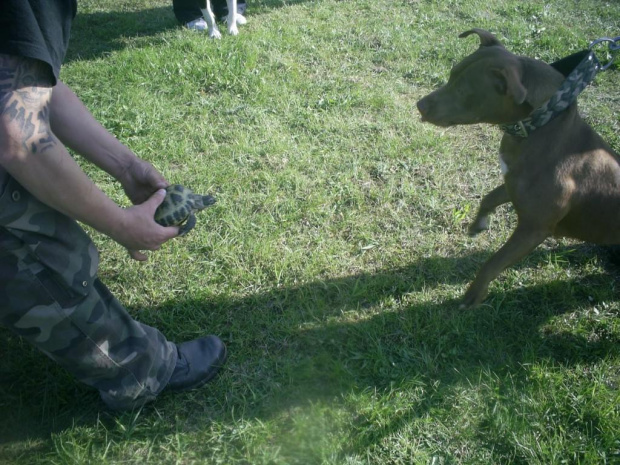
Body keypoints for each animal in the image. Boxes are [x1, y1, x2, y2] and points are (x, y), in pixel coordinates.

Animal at [416, 27, 620, 306]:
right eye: (451, 74)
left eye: (464, 90)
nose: (420, 105)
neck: (540, 126)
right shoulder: (511, 181)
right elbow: (489, 198)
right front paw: (479, 225)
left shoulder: (533, 229)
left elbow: (493, 262)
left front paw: (473, 296)